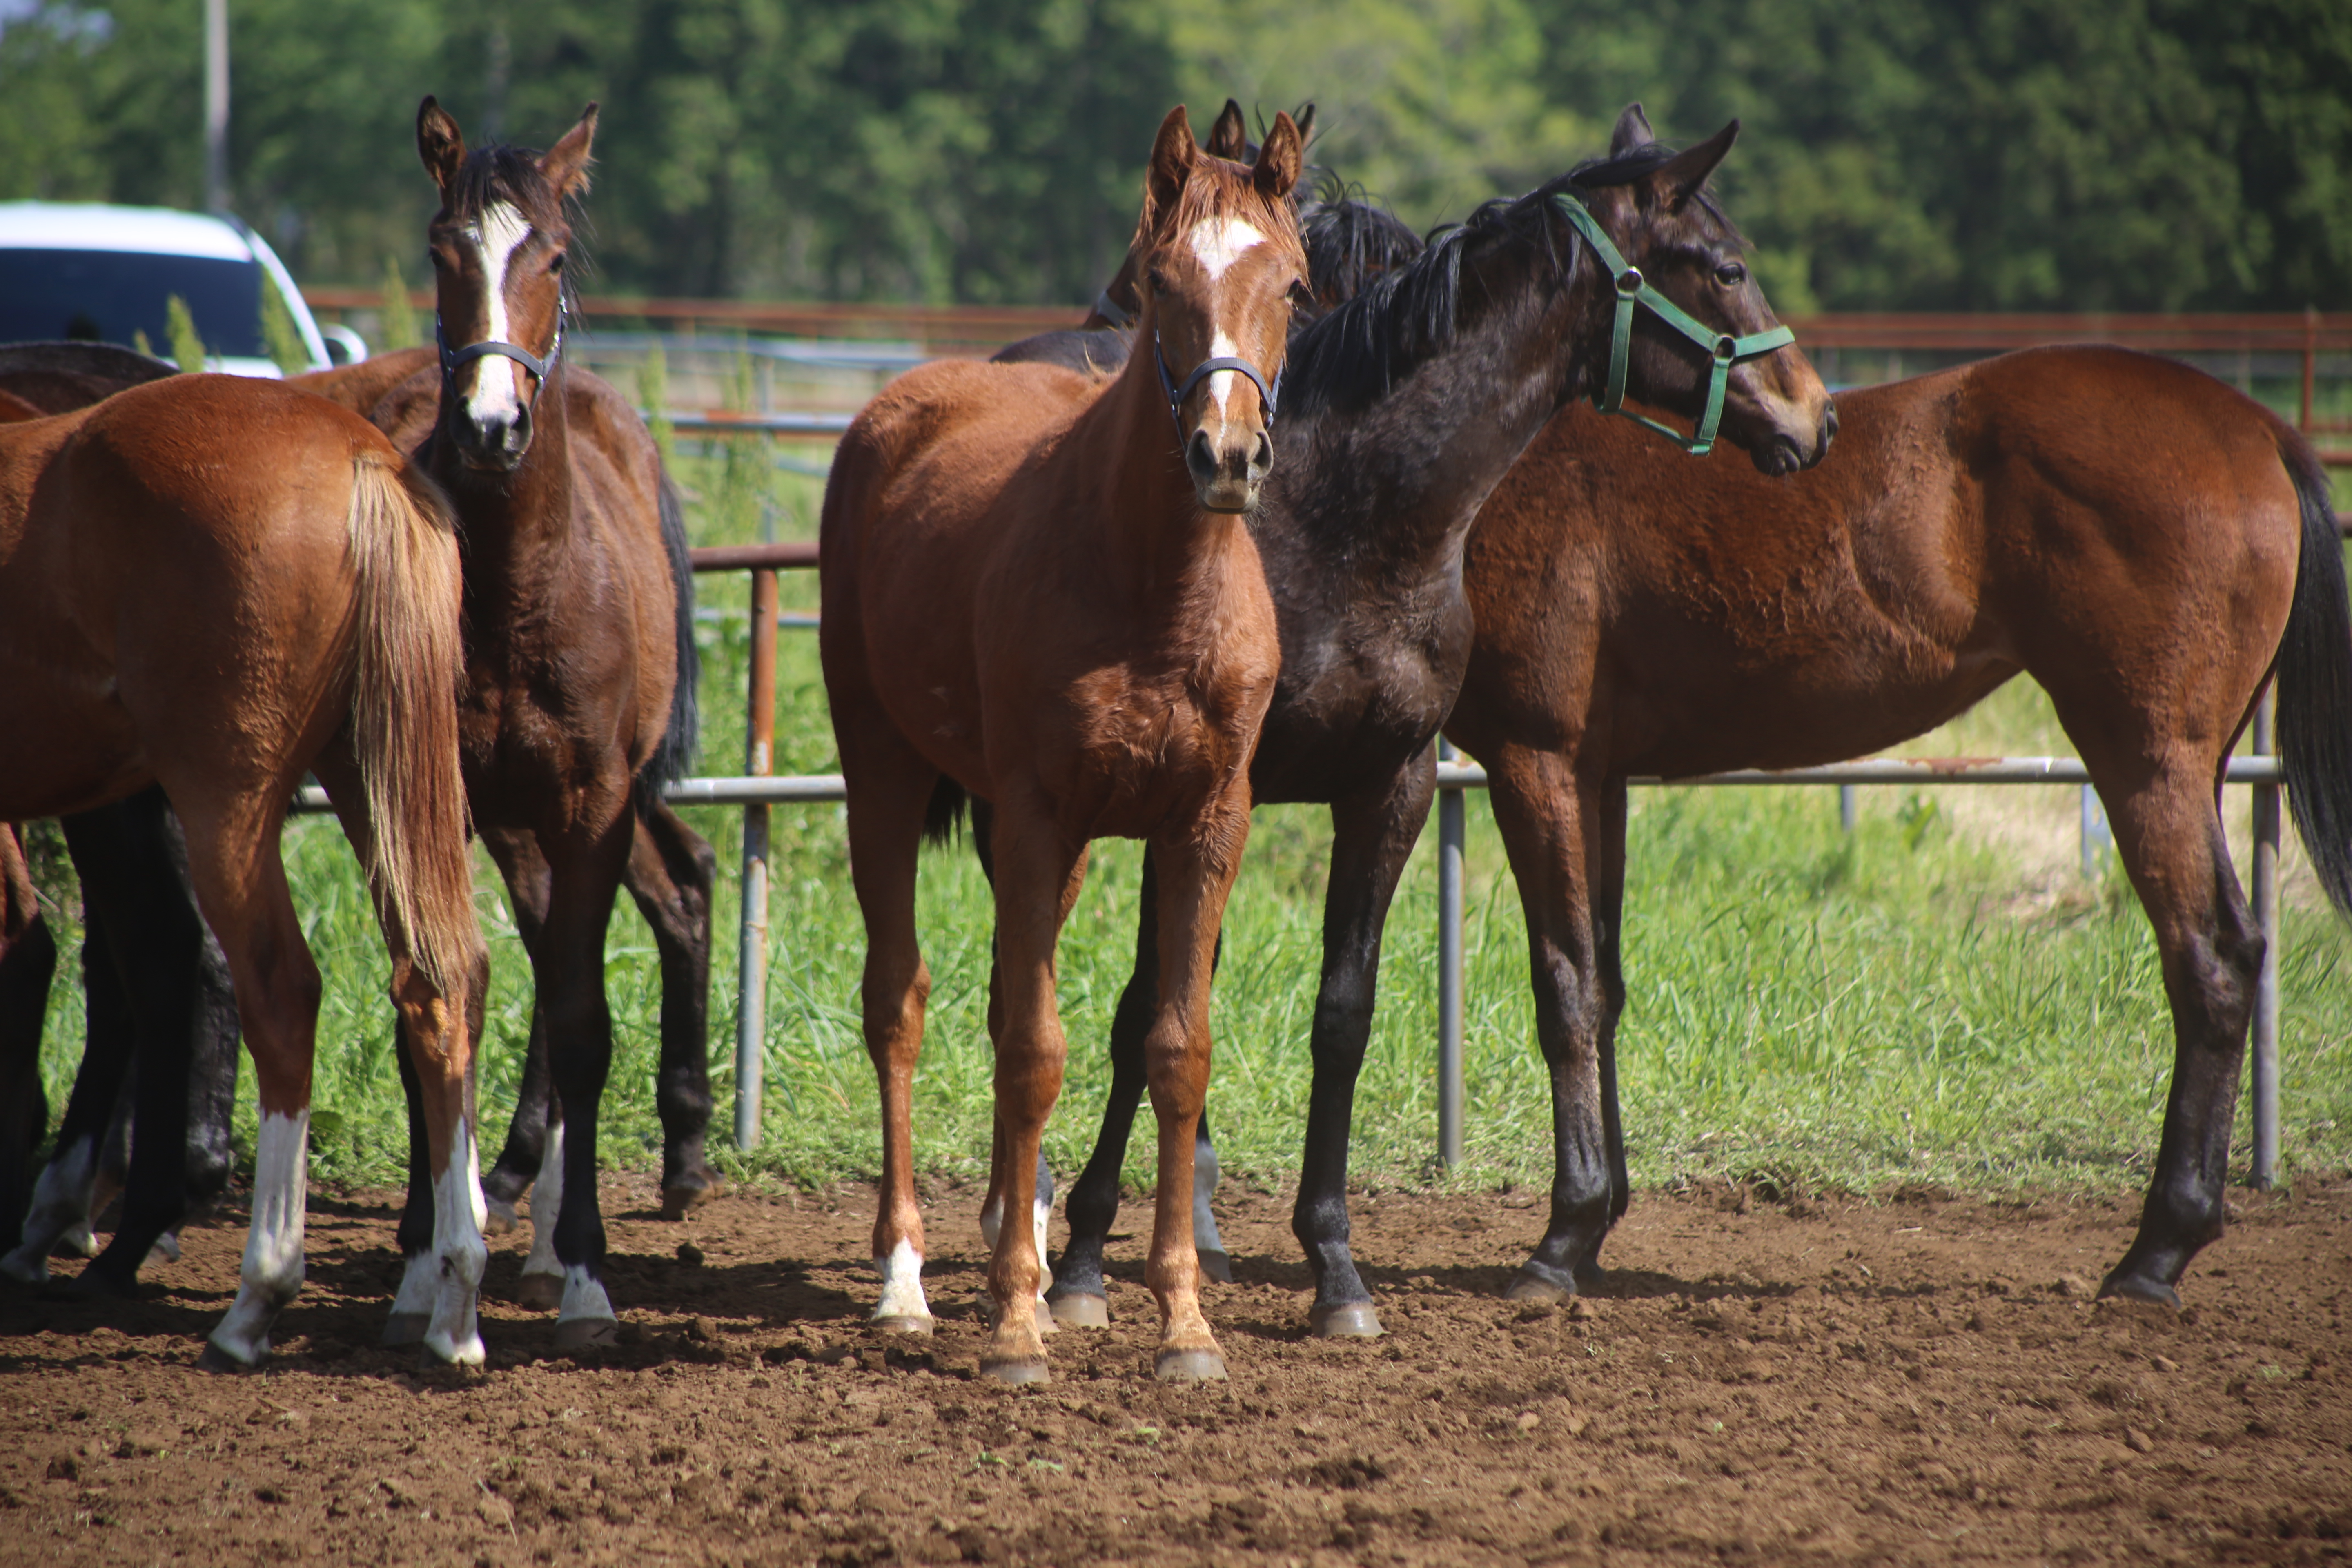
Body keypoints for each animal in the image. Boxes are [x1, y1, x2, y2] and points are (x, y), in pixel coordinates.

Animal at [0, 374, 484, 1363]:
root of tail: (360, 453)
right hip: (368, 773)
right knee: (435, 985)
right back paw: (454, 1298)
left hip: (227, 797)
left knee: (280, 993)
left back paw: (256, 1295)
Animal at [823, 107, 1307, 1382]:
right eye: (1163, 280)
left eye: (1293, 284)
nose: (1227, 457)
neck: (1152, 589)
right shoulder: (1039, 813)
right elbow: (1036, 1050)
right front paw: (1011, 1327)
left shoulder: (1201, 825)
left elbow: (1175, 1050)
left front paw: (1182, 1321)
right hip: (881, 777)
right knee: (900, 1002)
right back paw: (908, 1279)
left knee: (997, 1004)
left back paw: (1022, 1243)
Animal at [1439, 107, 2352, 1316]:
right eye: (1722, 266)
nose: (1810, 419)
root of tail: (2256, 427)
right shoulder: (1594, 773)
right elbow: (1606, 977)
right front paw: (1594, 1224)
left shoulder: (1532, 759)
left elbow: (1565, 987)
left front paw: (1559, 1241)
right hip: (2191, 764)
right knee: (2236, 955)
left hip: (2144, 758)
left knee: (2206, 963)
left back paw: (2154, 1254)